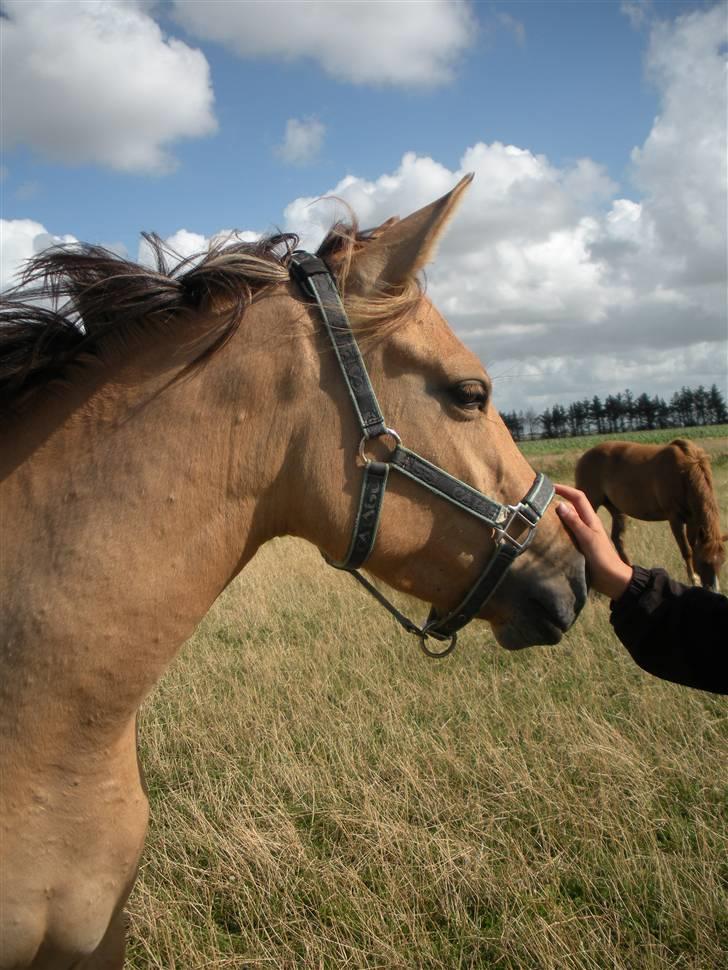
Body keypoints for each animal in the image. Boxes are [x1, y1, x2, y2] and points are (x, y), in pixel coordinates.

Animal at [576, 438, 724, 588]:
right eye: (704, 561)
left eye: (722, 562)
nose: (714, 589)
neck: (685, 471)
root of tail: (584, 457)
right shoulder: (675, 518)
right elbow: (687, 551)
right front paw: (694, 580)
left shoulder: (692, 520)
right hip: (589, 502)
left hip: (617, 510)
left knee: (618, 539)